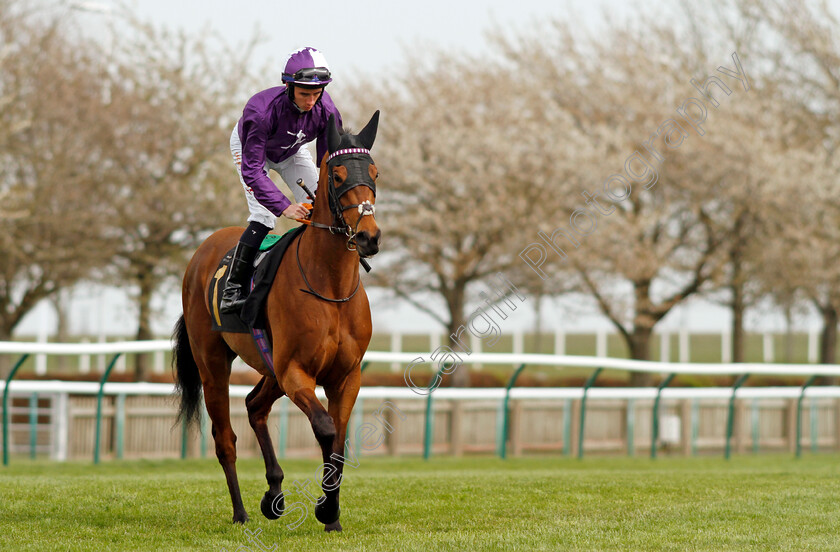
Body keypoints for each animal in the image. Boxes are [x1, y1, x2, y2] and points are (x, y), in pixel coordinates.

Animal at [172, 112, 382, 532]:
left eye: (374, 172)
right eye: (337, 175)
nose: (369, 237)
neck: (329, 285)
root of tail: (202, 252)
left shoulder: (346, 376)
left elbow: (339, 442)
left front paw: (331, 516)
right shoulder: (296, 371)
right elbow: (325, 428)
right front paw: (325, 509)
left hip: (269, 367)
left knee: (254, 406)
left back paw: (273, 494)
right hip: (214, 364)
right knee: (226, 438)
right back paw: (241, 512)